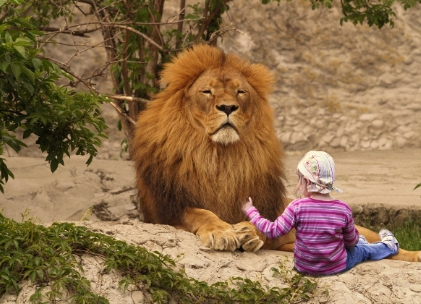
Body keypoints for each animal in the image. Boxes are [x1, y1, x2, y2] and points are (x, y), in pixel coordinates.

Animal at [130, 44, 418, 262]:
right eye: (207, 91)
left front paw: (248, 232)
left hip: (362, 231)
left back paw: (415, 255)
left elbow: (263, 224)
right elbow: (199, 212)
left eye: (240, 91)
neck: (219, 156)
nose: (227, 107)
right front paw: (221, 231)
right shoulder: (165, 211)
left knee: (384, 245)